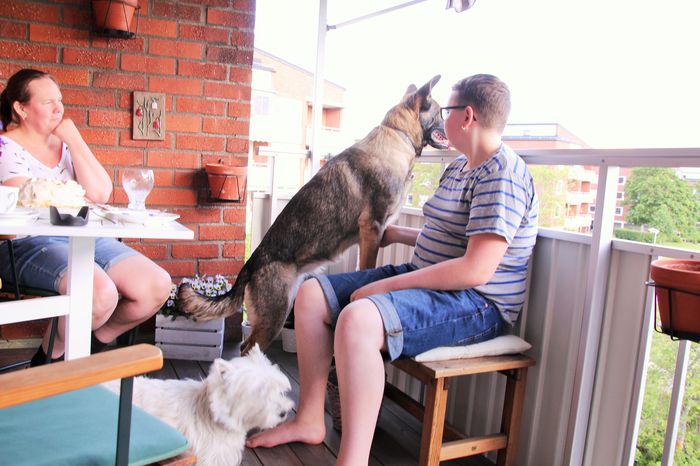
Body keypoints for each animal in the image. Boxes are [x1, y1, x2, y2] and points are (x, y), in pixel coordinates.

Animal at [178, 75, 447, 354]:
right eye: (441, 113)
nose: (450, 125)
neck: (398, 134)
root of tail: (249, 265)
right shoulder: (372, 227)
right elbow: (367, 268)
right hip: (274, 317)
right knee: (247, 349)